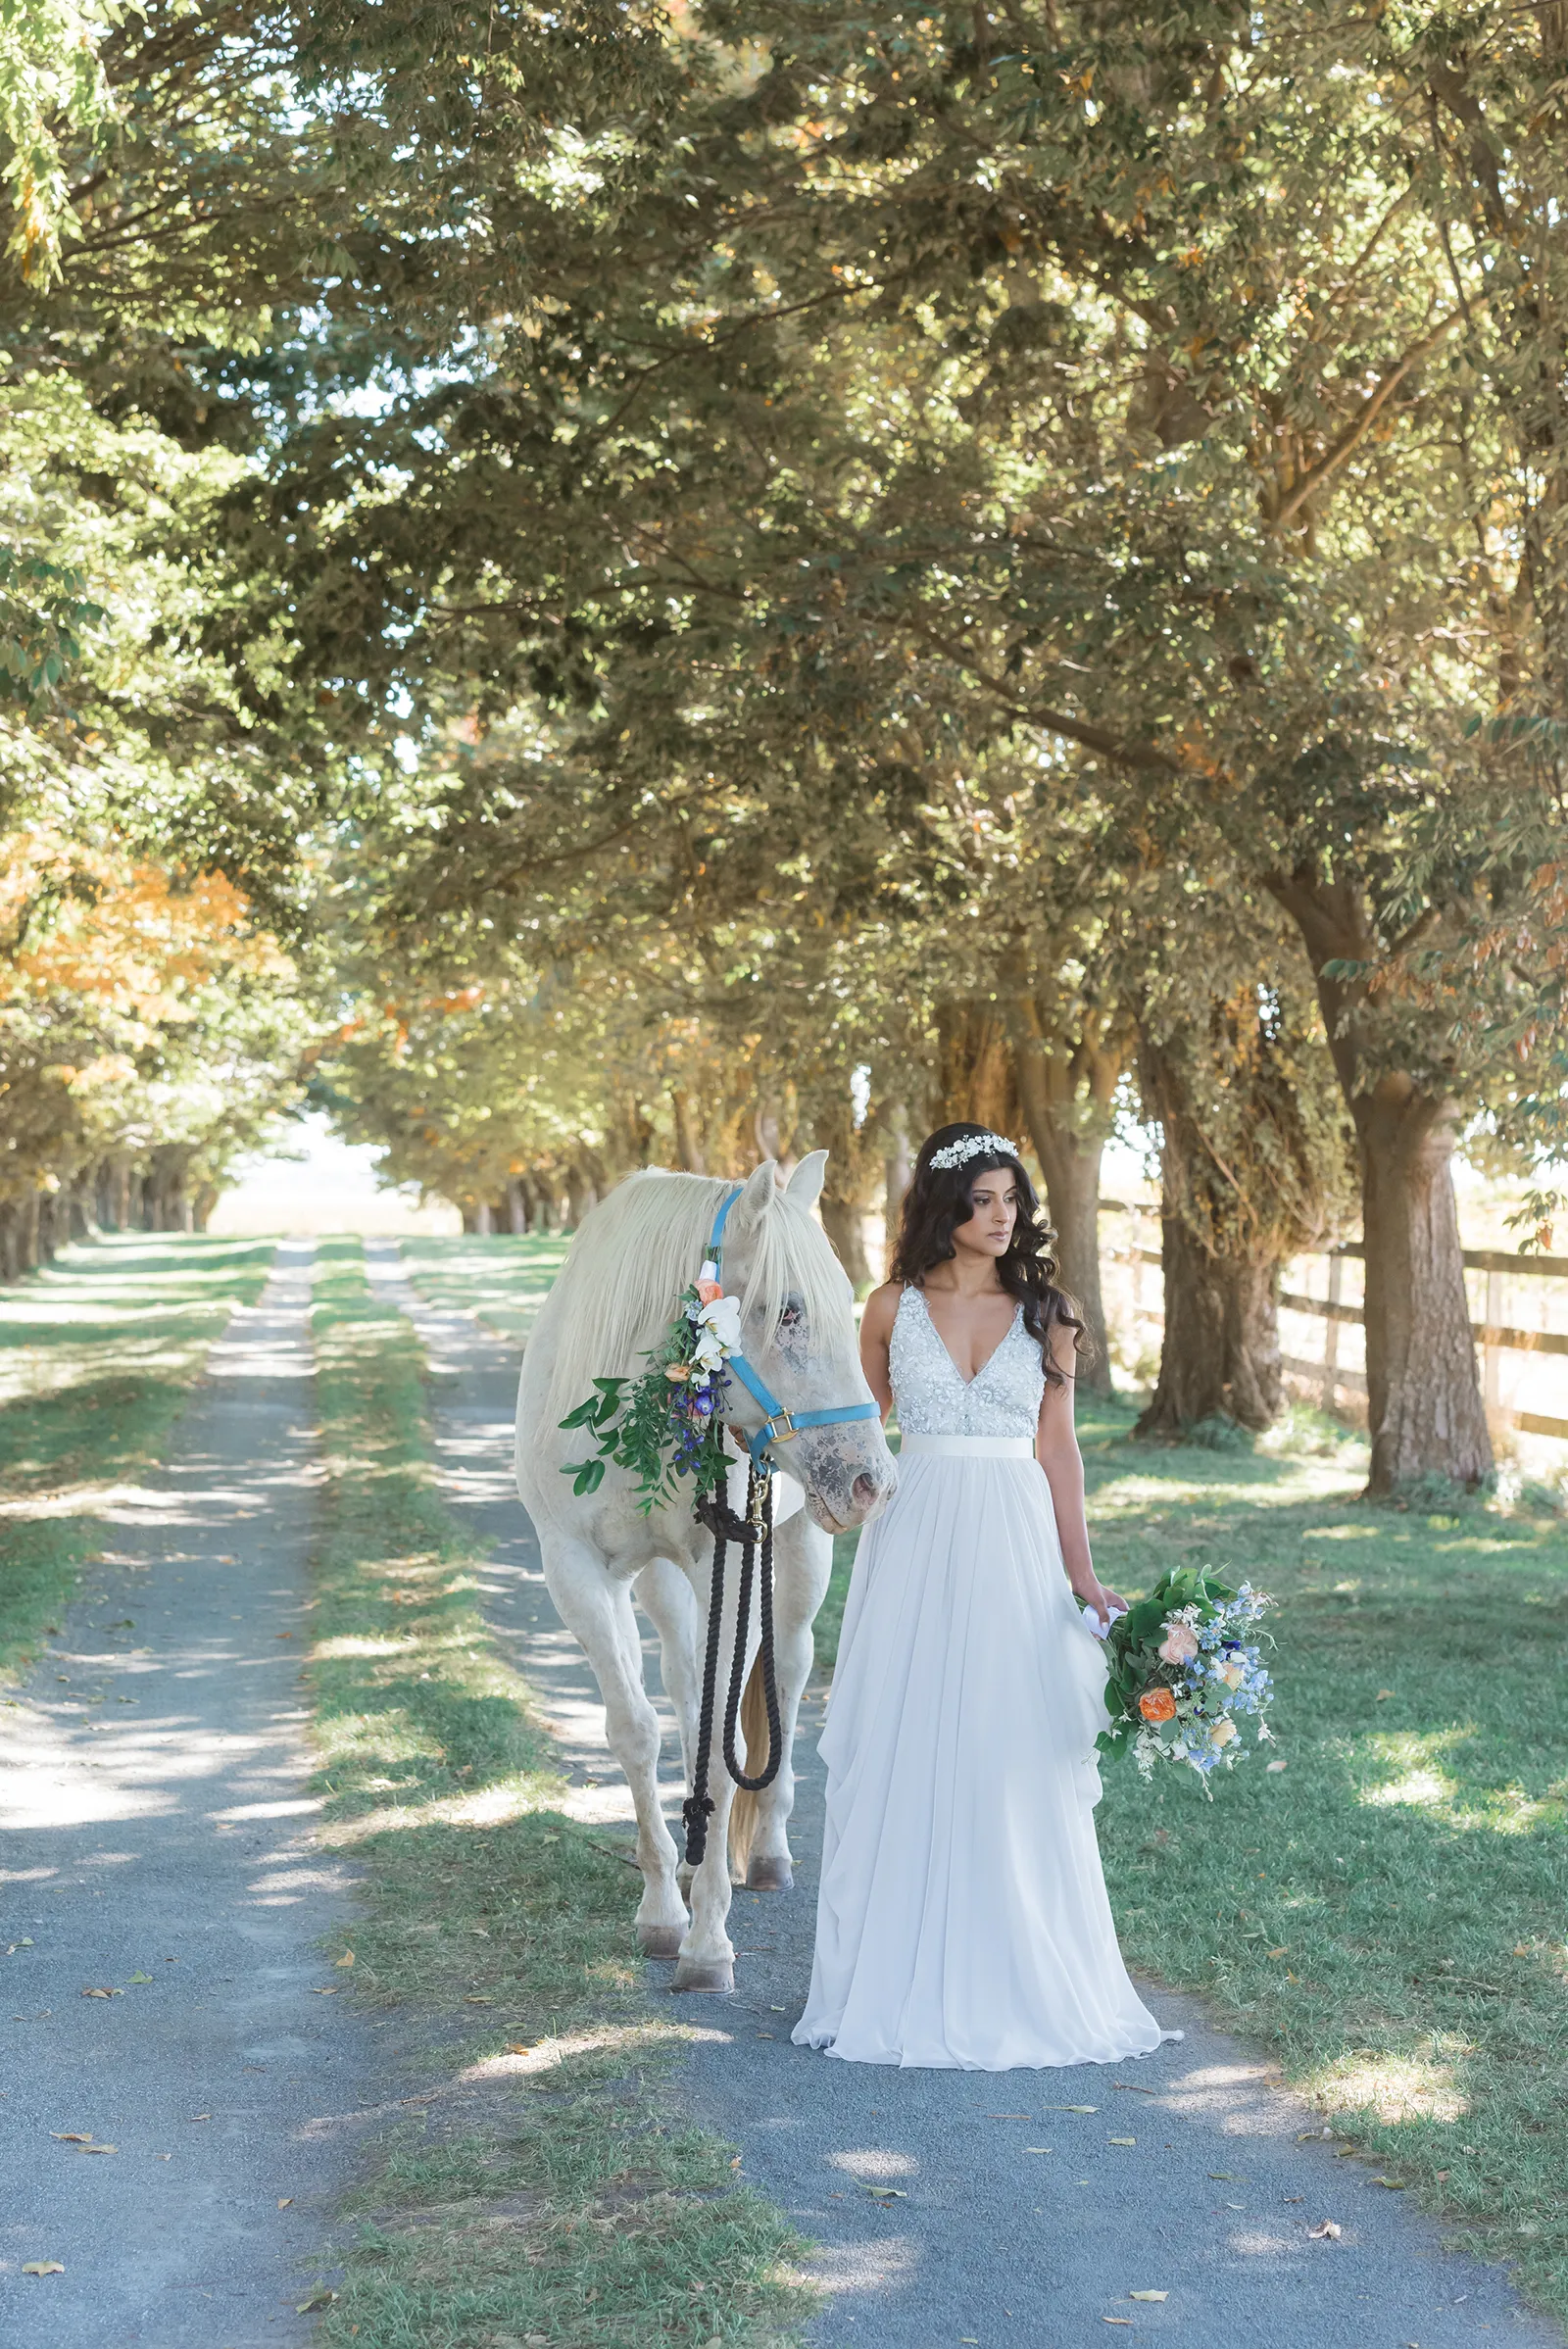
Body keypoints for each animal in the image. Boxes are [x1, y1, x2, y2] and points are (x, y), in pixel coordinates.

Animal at [514, 1153, 897, 1991]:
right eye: (789, 1312)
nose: (873, 1481)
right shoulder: (578, 1573)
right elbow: (635, 1732)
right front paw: (663, 1910)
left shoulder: (736, 1554)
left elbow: (723, 1760)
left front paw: (709, 1944)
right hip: (668, 1583)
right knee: (687, 1688)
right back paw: (693, 1864)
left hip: (796, 1560)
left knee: (783, 1672)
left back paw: (767, 1853)